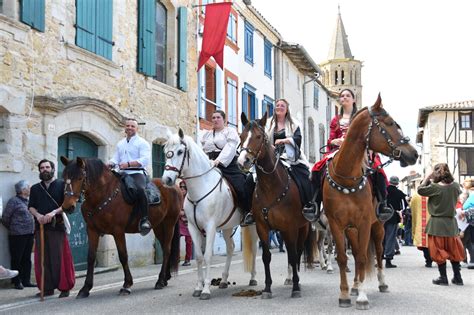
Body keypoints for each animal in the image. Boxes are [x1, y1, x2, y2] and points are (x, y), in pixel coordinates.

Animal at [60, 158, 182, 298]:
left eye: (80, 178)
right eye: (64, 177)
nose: (67, 207)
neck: (102, 195)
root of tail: (175, 187)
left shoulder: (118, 231)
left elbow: (123, 256)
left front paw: (127, 285)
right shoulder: (92, 231)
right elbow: (90, 257)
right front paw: (85, 288)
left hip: (169, 223)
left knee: (167, 250)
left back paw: (160, 281)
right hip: (158, 226)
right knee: (165, 248)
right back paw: (165, 278)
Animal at [163, 130, 260, 300]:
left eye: (180, 151)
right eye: (165, 152)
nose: (167, 179)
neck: (201, 187)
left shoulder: (210, 227)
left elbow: (207, 255)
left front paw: (206, 290)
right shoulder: (193, 228)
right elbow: (199, 257)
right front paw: (198, 287)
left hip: (252, 225)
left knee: (254, 249)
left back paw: (253, 278)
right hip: (227, 227)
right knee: (230, 248)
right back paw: (224, 280)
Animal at [237, 113, 318, 298]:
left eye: (258, 137)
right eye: (242, 136)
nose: (243, 161)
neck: (271, 186)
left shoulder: (291, 227)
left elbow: (294, 255)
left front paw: (296, 287)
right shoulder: (262, 227)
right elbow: (266, 256)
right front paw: (267, 288)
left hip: (302, 228)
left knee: (297, 252)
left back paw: (295, 280)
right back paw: (289, 278)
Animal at [322, 95, 418, 310]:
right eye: (390, 123)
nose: (414, 154)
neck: (346, 178)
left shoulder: (365, 223)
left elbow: (363, 258)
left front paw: (362, 297)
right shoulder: (336, 225)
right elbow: (343, 258)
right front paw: (344, 294)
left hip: (378, 227)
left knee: (379, 253)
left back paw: (381, 283)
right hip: (351, 230)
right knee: (357, 252)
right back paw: (355, 286)